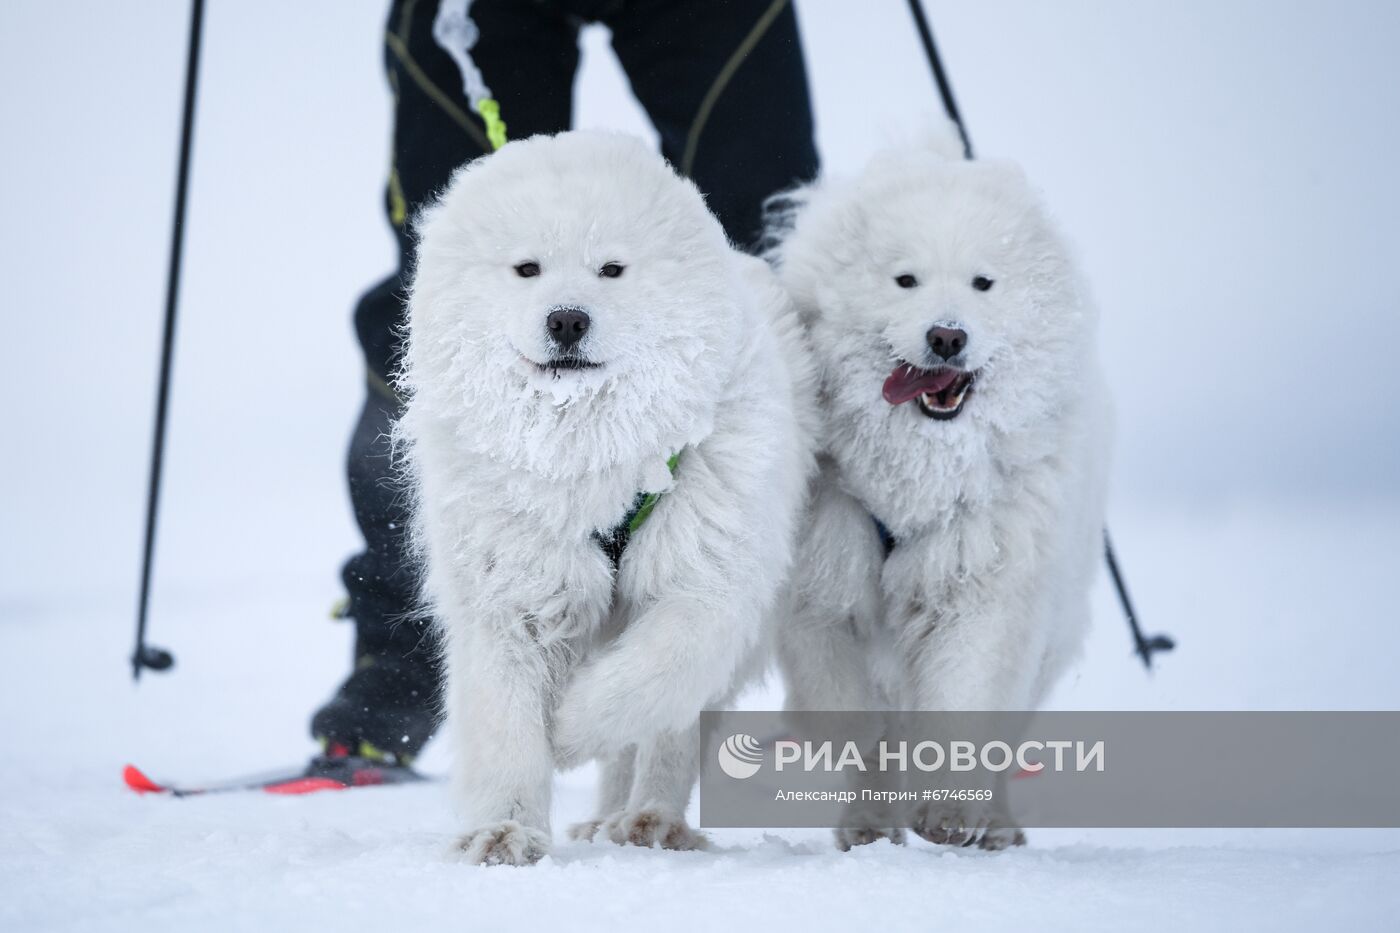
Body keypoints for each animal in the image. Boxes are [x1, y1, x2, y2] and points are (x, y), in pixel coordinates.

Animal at [394, 130, 817, 862]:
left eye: (612, 270)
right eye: (527, 269)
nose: (567, 320)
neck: (592, 458)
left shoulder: (705, 586)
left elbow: (644, 684)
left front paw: (566, 733)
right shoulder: (512, 592)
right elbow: (508, 725)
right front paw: (506, 829)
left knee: (666, 732)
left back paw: (653, 821)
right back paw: (613, 820)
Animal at [772, 128, 1108, 851]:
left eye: (984, 282)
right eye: (906, 279)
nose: (947, 334)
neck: (916, 477)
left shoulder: (980, 579)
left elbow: (960, 700)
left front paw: (949, 814)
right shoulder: (823, 587)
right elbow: (851, 716)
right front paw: (872, 815)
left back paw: (995, 826)